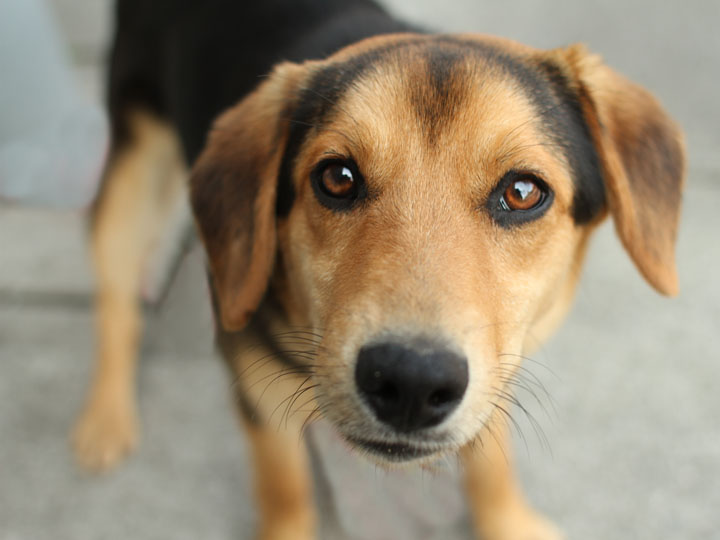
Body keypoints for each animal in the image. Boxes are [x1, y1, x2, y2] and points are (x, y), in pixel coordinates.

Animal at [70, 1, 684, 540]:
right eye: (337, 178)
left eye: (523, 191)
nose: (412, 381)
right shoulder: (259, 389)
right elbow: (284, 490)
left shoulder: (501, 365)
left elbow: (492, 461)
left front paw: (507, 520)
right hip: (134, 171)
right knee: (115, 297)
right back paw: (104, 418)